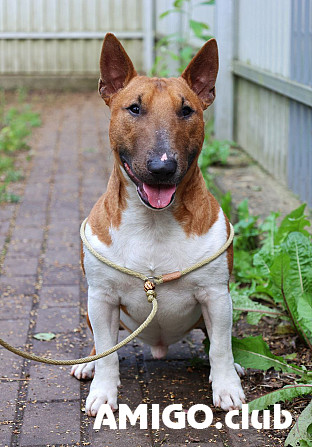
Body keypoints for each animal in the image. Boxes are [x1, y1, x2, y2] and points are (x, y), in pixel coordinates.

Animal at [71, 33, 246, 418]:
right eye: (134, 108)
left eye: (186, 110)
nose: (162, 168)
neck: (153, 222)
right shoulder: (102, 298)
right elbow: (107, 355)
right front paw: (102, 393)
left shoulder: (216, 295)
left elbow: (220, 348)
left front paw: (227, 387)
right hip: (93, 310)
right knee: (100, 345)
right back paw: (86, 365)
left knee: (215, 340)